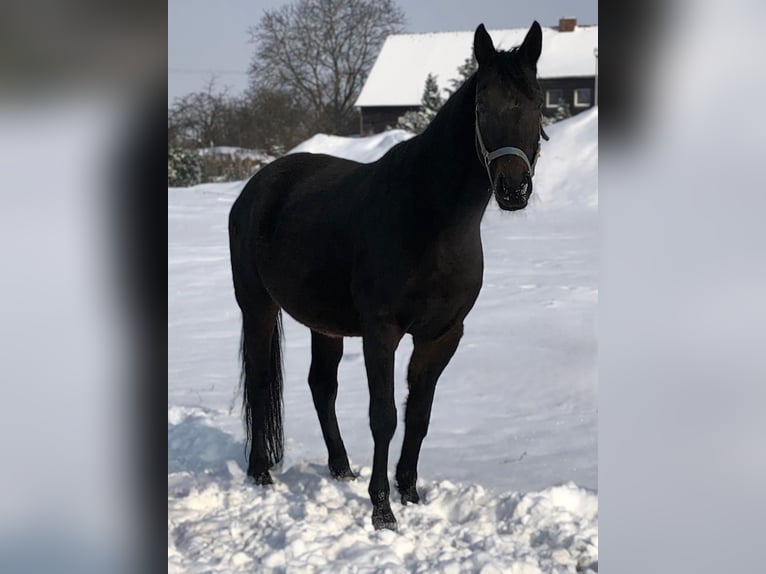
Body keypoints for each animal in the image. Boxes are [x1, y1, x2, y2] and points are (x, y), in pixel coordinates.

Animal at [231, 23, 548, 536]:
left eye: (537, 102)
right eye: (482, 104)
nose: (513, 188)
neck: (432, 221)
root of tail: (256, 187)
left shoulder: (442, 335)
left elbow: (419, 415)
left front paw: (410, 492)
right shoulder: (381, 332)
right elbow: (384, 416)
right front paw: (382, 510)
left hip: (325, 325)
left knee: (321, 386)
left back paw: (341, 468)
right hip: (257, 307)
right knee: (260, 383)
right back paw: (261, 472)